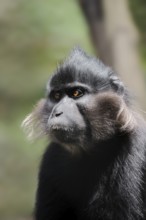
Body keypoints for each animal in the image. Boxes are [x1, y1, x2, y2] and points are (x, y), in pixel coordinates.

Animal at [21, 48, 146, 220]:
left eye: (76, 93)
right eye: (57, 96)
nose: (57, 112)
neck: (88, 153)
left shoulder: (135, 148)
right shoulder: (51, 157)